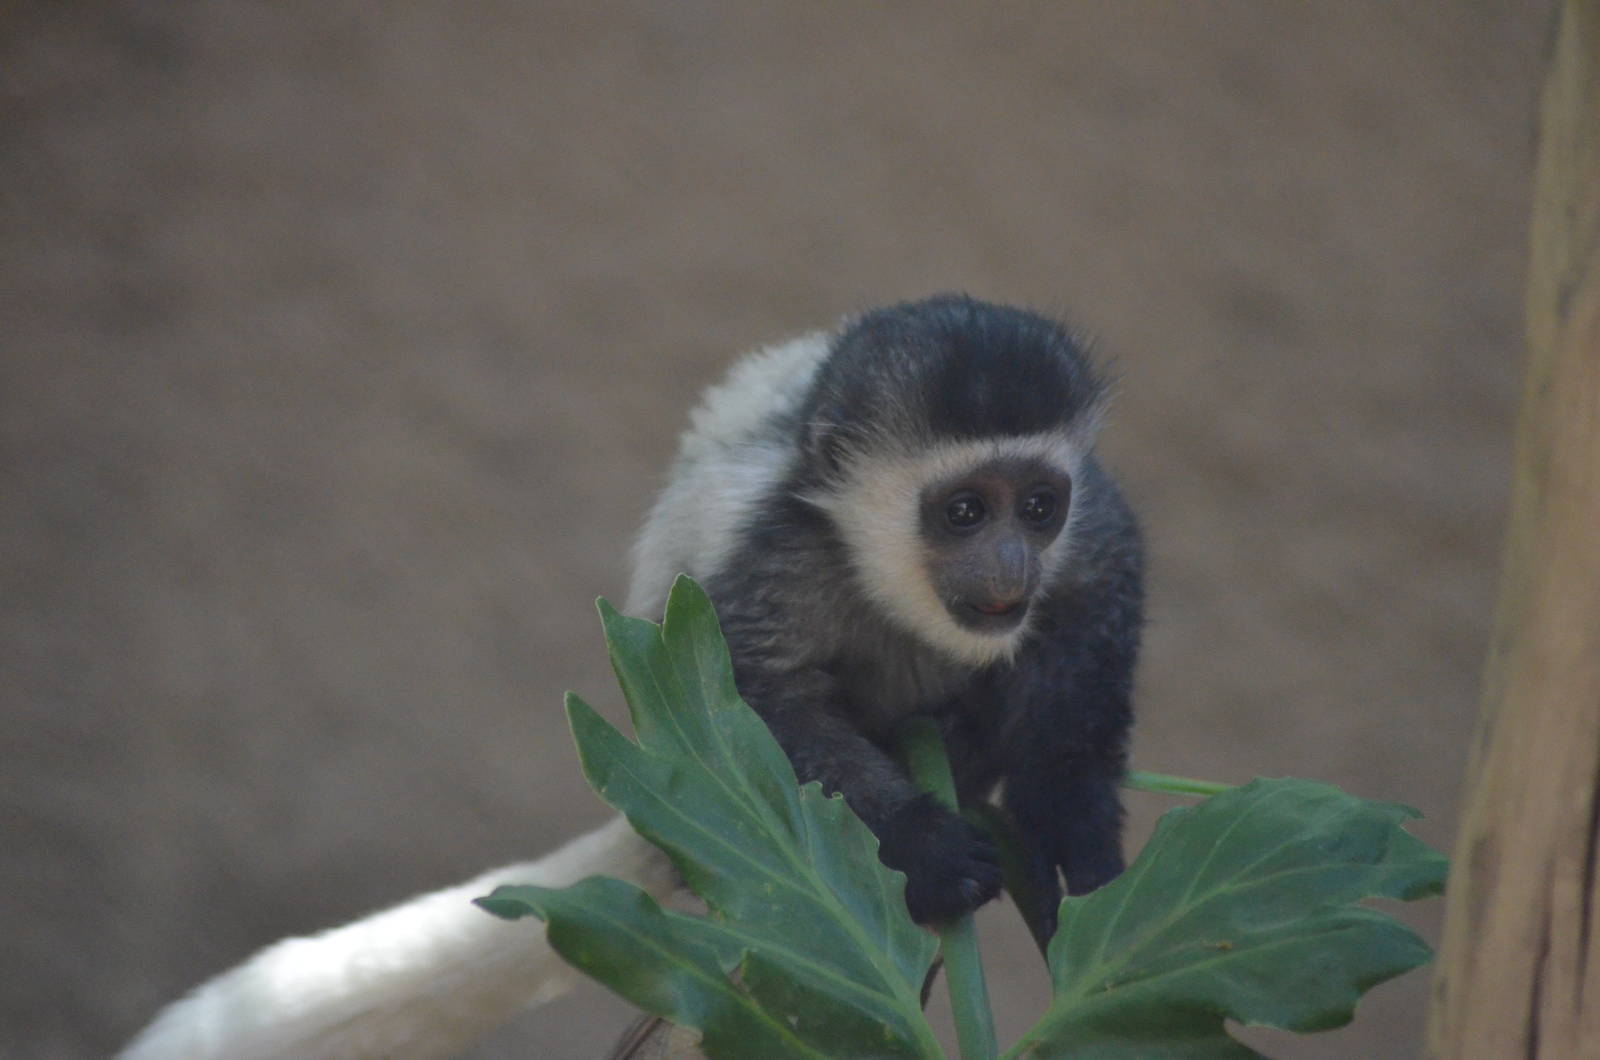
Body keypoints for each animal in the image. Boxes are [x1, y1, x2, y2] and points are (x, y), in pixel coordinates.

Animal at [119, 294, 1142, 1060]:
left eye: (1039, 507)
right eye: (964, 510)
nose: (1010, 567)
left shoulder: (1093, 539)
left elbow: (1078, 704)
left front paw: (1089, 891)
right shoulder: (778, 557)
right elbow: (748, 718)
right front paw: (931, 850)